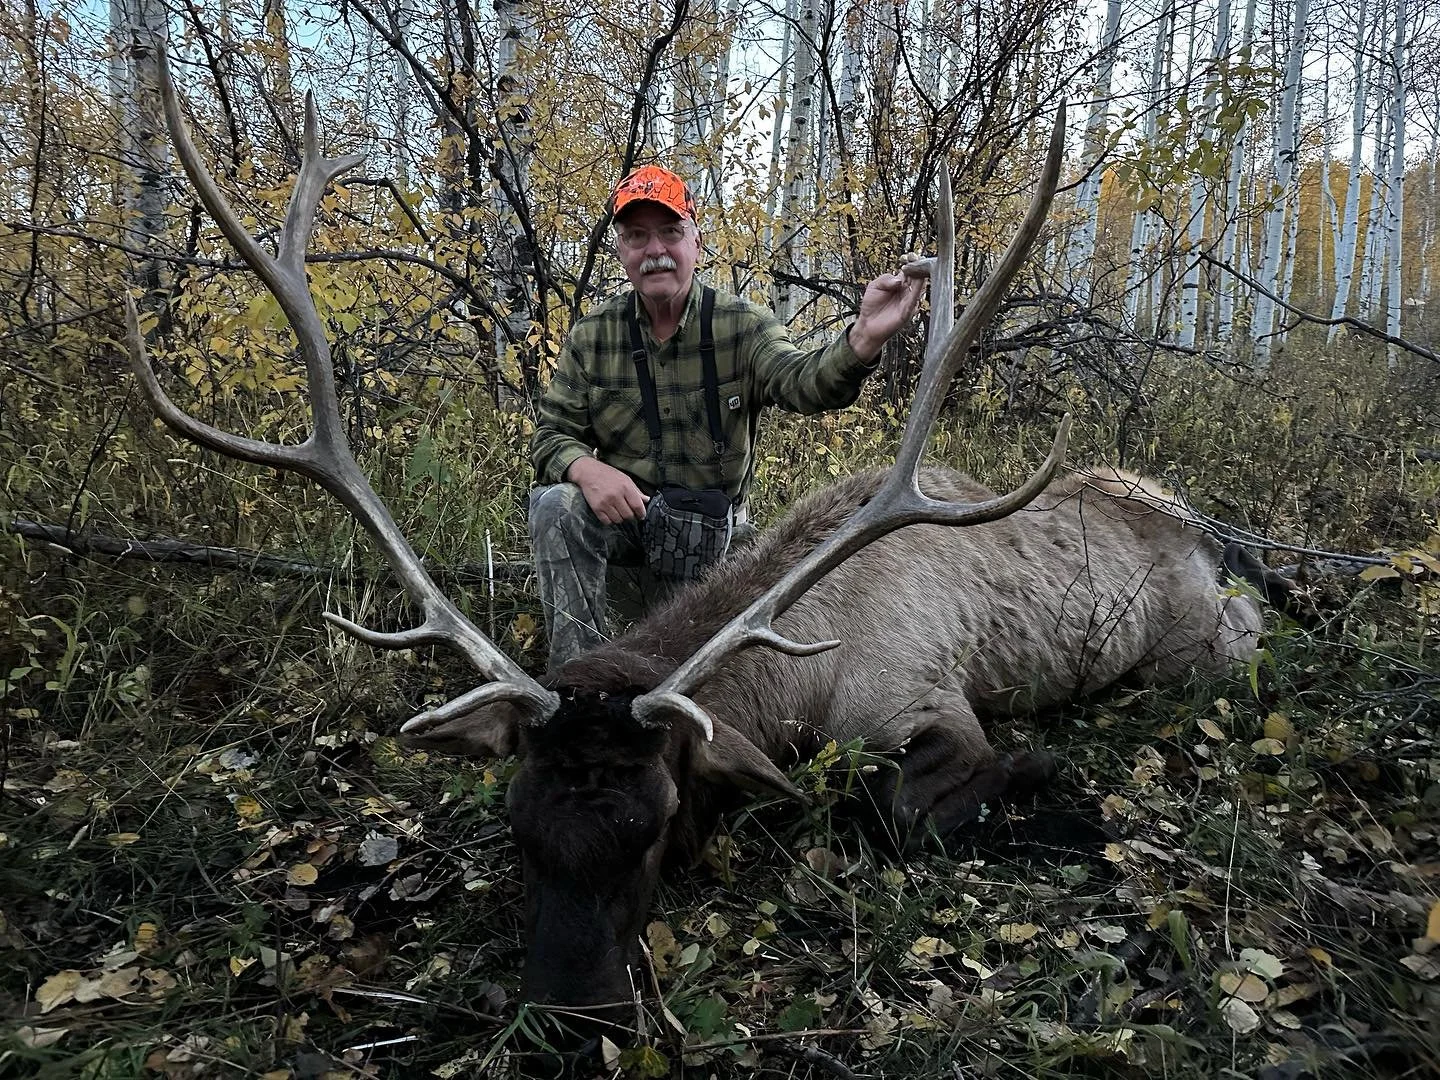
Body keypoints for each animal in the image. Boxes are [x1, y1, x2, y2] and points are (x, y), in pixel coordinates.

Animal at [127, 57, 1286, 1033]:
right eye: (519, 830)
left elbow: (903, 808)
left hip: (1207, 644)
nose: (572, 1017)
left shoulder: (926, 700)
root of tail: (1211, 535)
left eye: (656, 824)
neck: (802, 682)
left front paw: (1043, 773)